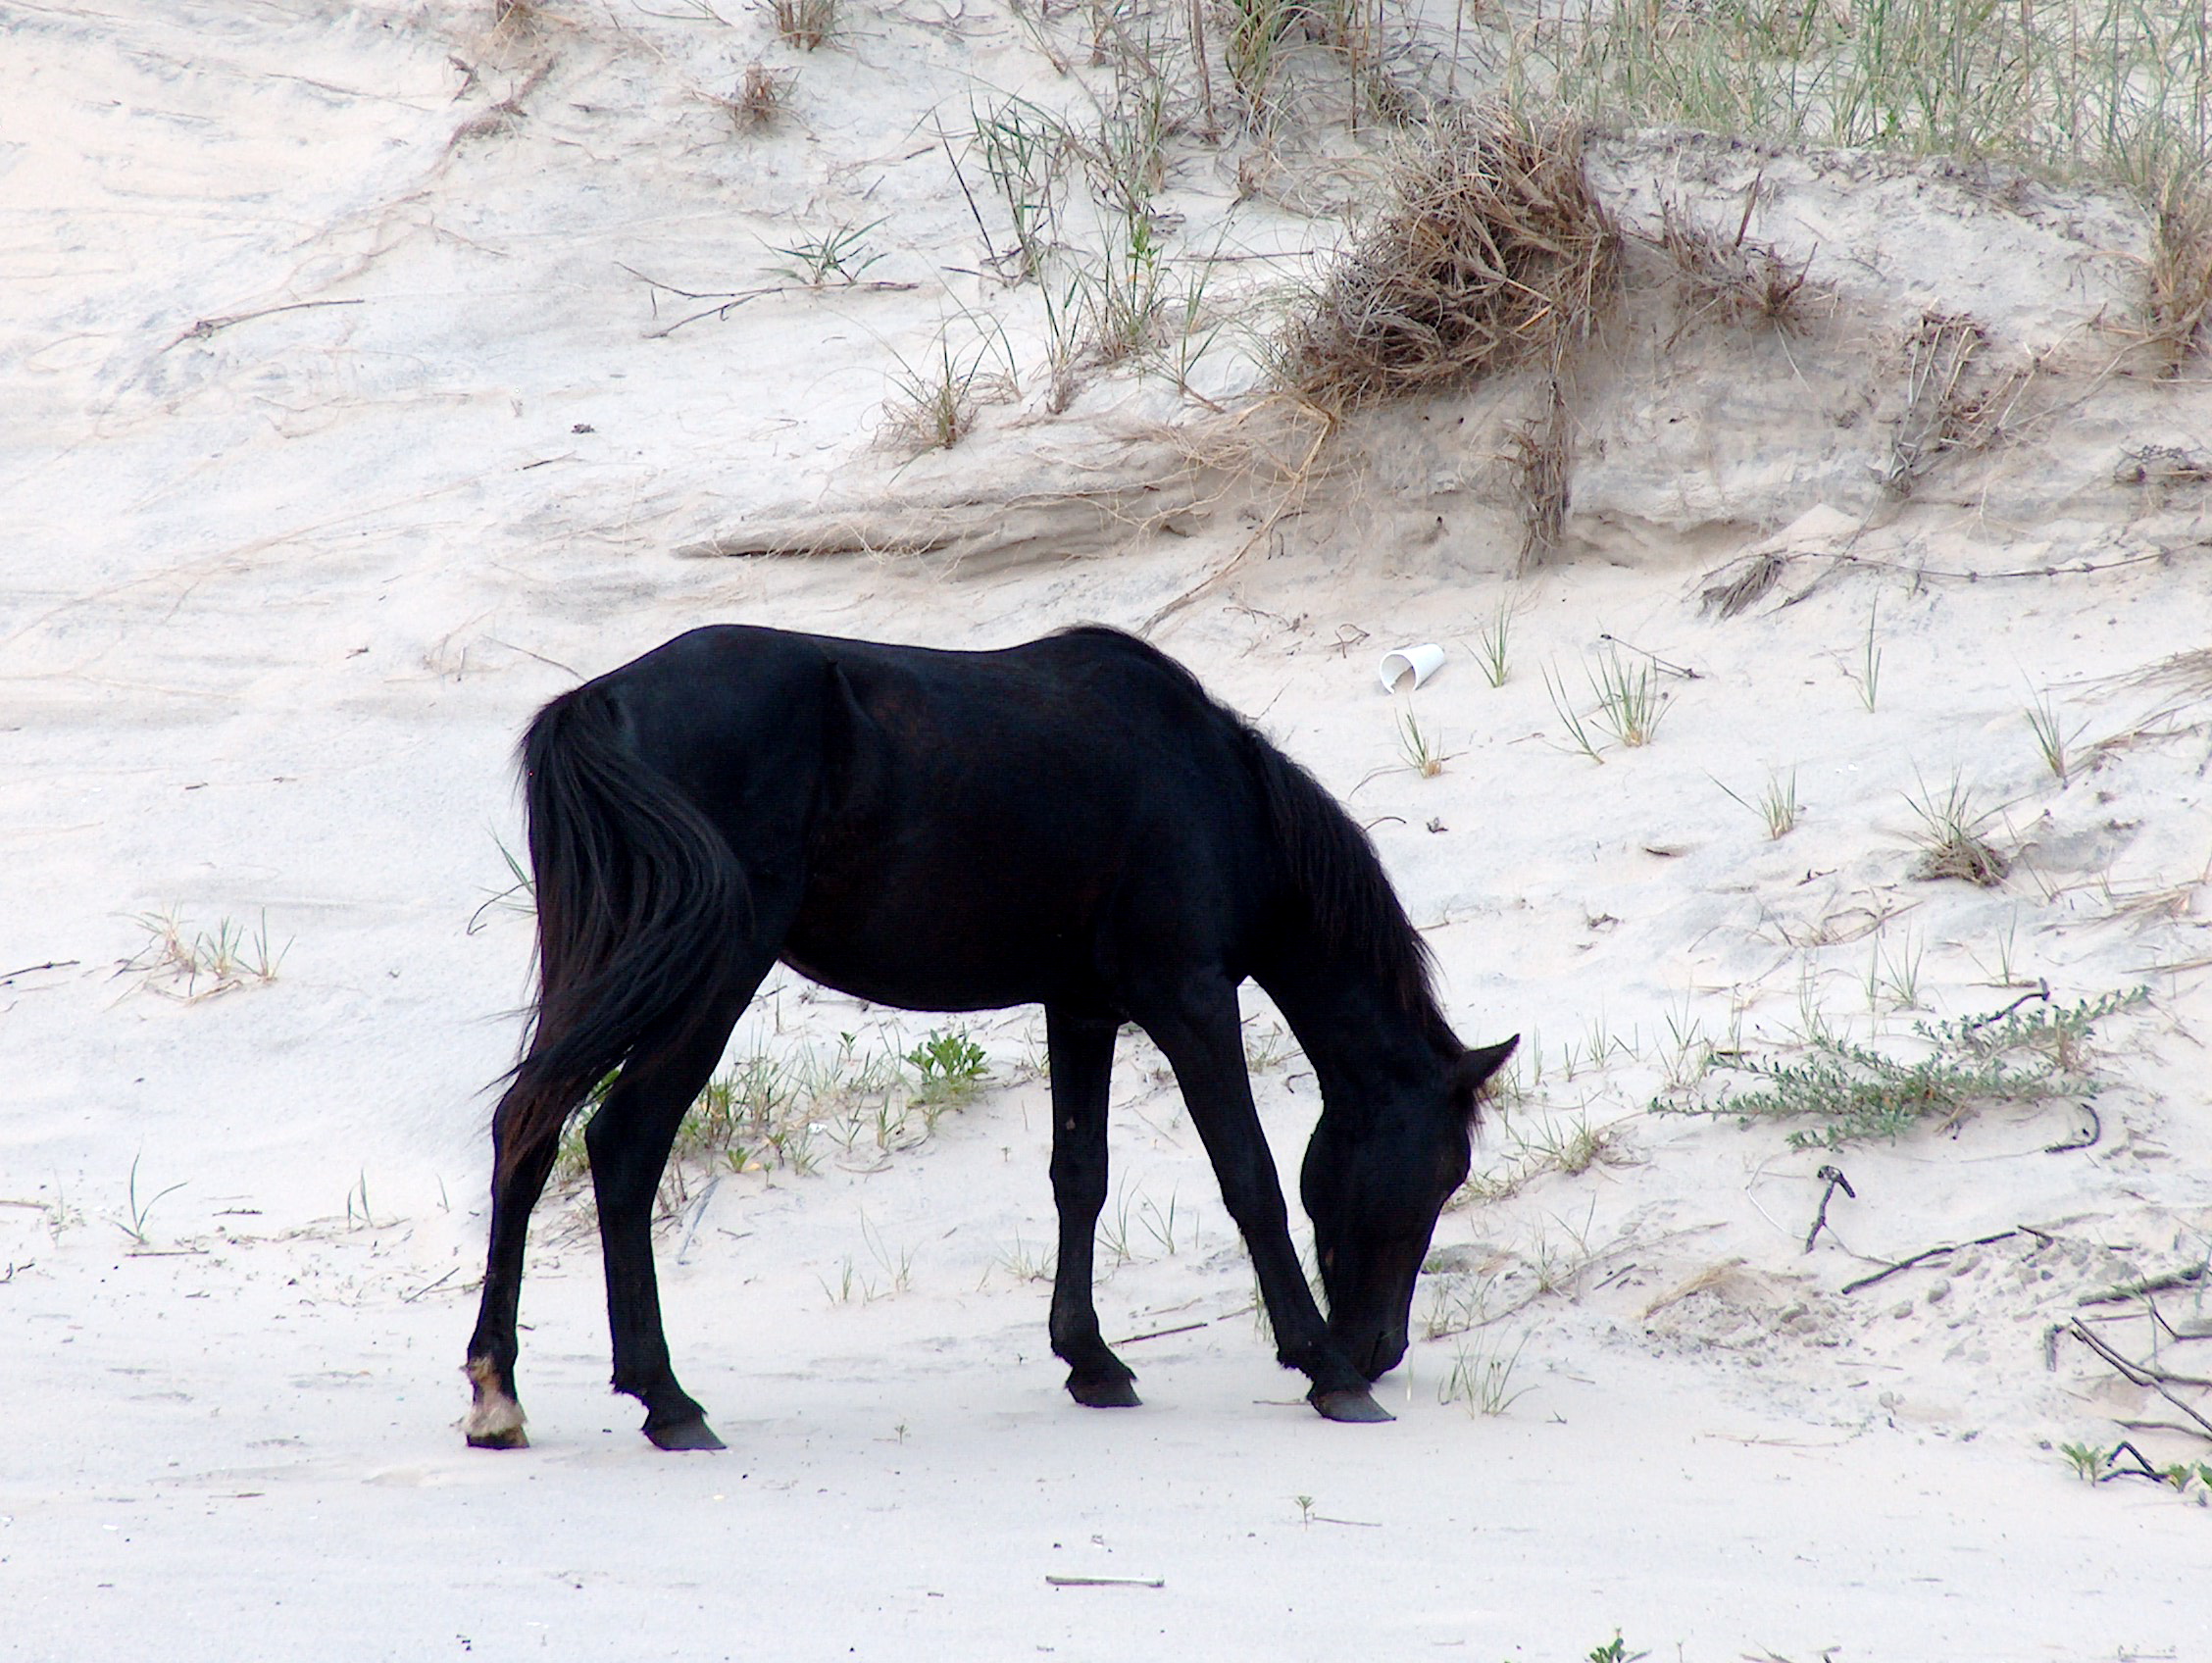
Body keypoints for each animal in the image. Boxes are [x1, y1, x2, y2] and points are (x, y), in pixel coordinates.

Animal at [457, 619, 1513, 1441]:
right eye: (1442, 1174)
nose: (1380, 1350)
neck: (1216, 790)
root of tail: (598, 703)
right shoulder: (1190, 1001)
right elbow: (1247, 1178)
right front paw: (1321, 1367)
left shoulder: (1083, 1009)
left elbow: (1079, 1177)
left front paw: (1091, 1359)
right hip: (706, 978)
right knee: (622, 1145)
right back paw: (667, 1400)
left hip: (602, 969)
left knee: (528, 1128)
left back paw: (498, 1392)